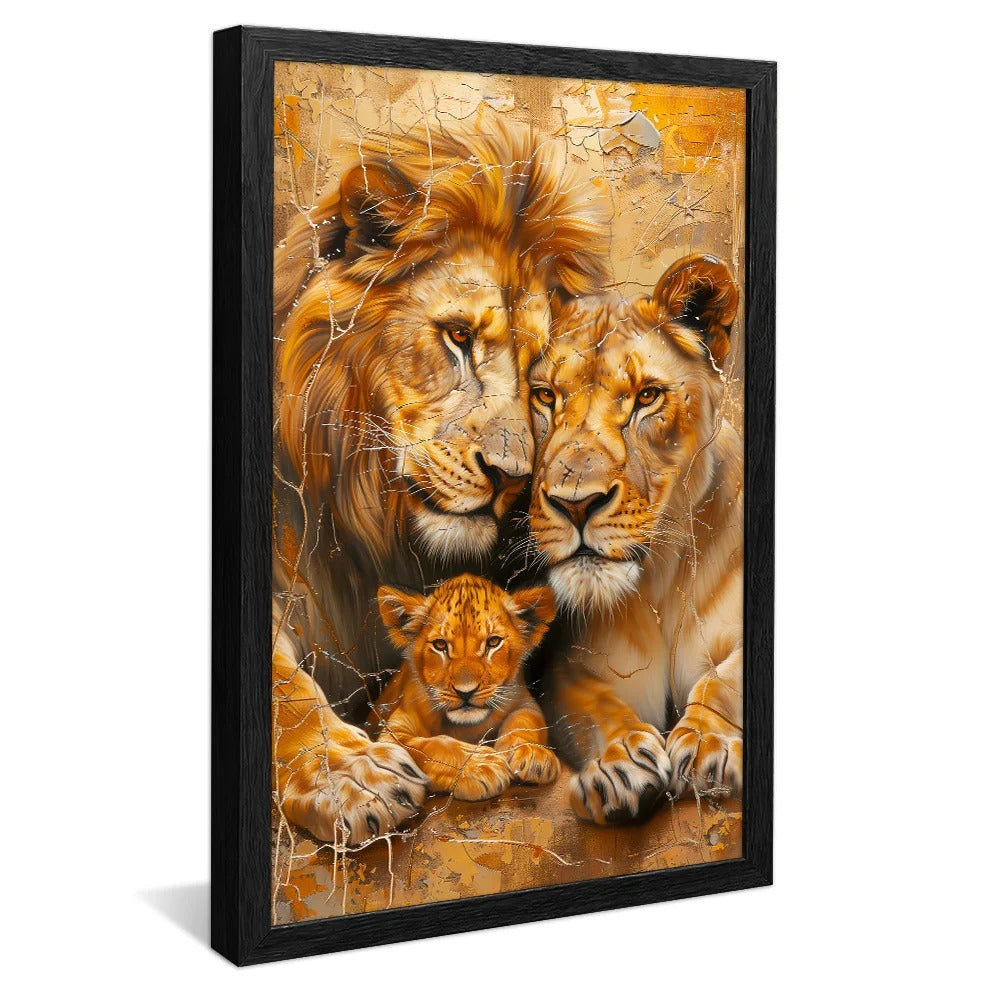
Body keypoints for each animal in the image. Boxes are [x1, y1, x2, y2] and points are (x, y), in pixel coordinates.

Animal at [372, 573, 559, 801]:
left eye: (493, 642)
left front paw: (532, 754)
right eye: (440, 645)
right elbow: (431, 745)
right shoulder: (390, 735)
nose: (466, 692)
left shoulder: (523, 700)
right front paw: (480, 765)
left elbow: (525, 720)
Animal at [526, 254, 743, 824]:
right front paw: (619, 763)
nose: (576, 503)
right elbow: (590, 703)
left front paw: (709, 743)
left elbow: (728, 677)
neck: (662, 580)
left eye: (647, 396)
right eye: (545, 396)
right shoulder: (572, 663)